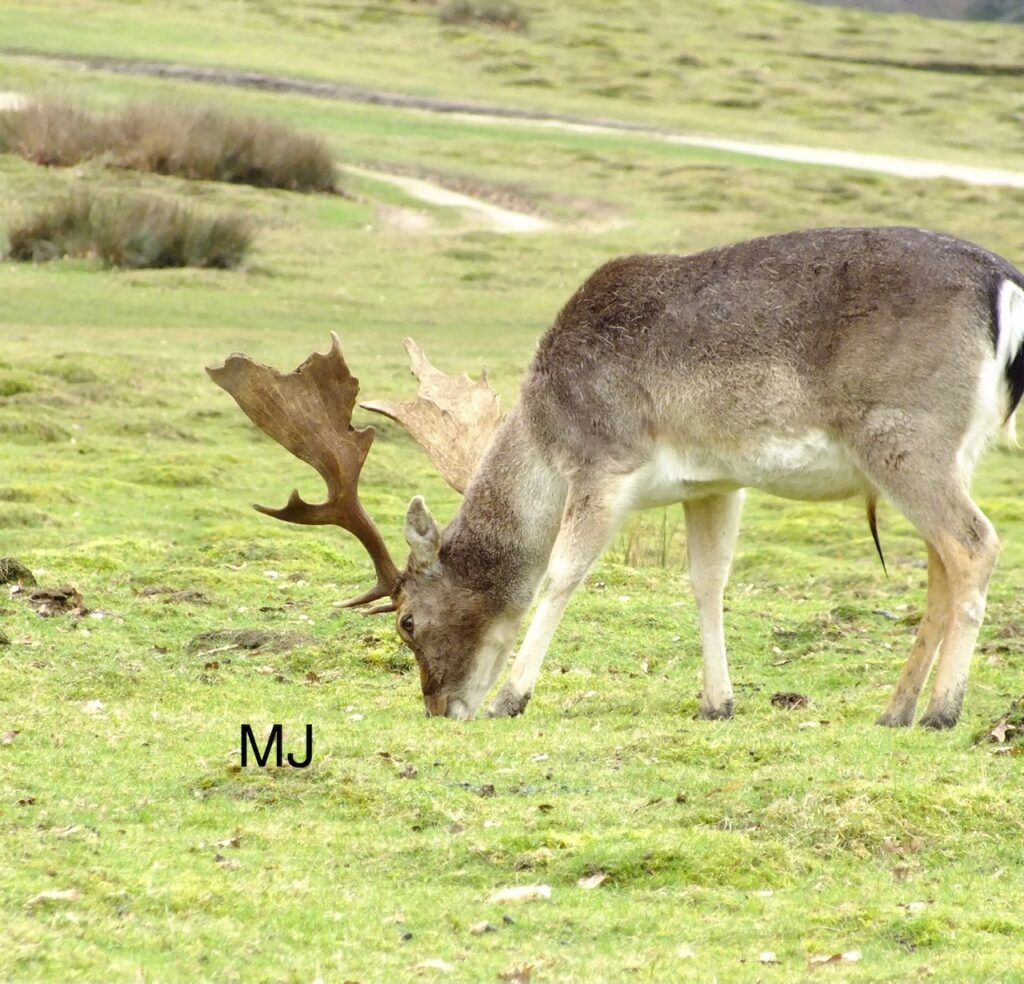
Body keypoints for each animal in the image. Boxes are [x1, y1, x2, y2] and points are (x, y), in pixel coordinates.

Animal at [208, 226, 1024, 729]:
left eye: (407, 622)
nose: (440, 708)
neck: (544, 433)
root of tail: (1007, 286)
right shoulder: (714, 483)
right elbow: (707, 580)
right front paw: (718, 703)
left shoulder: (606, 461)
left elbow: (562, 573)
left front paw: (512, 697)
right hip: (950, 450)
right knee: (941, 565)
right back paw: (895, 709)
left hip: (906, 437)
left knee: (975, 544)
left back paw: (943, 711)